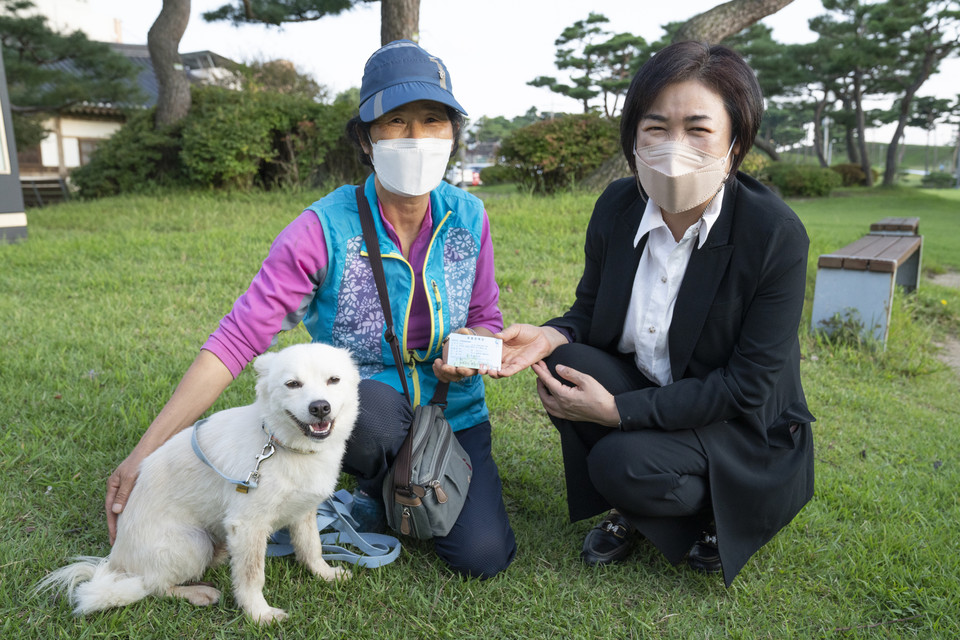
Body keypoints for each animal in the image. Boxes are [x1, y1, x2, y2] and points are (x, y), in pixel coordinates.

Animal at [35, 342, 360, 624]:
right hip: (194, 543)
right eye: (293, 384)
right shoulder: (248, 526)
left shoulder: (304, 512)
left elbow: (311, 548)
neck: (283, 446)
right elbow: (252, 575)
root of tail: (117, 562)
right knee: (154, 586)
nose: (320, 407)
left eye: (333, 380)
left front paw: (325, 574)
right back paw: (197, 592)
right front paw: (259, 615)